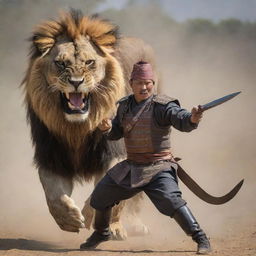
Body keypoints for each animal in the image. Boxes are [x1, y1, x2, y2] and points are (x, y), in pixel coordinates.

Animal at [22, 9, 157, 238]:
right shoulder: (51, 157)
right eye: (61, 63)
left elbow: (108, 192)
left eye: (89, 63)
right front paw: (69, 219)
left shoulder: (115, 152)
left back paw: (127, 226)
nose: (76, 82)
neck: (77, 128)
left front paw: (93, 215)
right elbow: (53, 196)